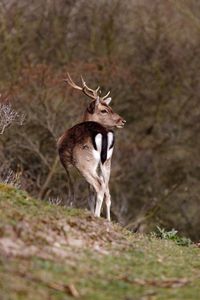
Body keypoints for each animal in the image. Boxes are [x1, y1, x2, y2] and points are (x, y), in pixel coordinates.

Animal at [57, 74, 126, 221]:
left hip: (83, 161)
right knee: (106, 190)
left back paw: (96, 215)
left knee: (99, 186)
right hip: (106, 162)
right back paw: (107, 219)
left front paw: (69, 206)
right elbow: (90, 194)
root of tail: (104, 133)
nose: (122, 121)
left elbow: (72, 188)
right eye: (104, 110)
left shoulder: (66, 163)